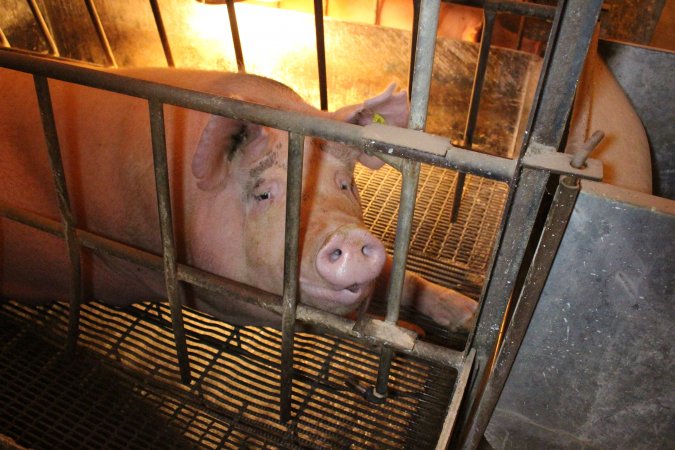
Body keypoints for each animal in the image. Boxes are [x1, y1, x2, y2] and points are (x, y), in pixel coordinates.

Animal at [0, 67, 480, 334]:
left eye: (346, 184)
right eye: (264, 193)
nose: (347, 237)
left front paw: (470, 315)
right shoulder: (216, 293)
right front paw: (416, 331)